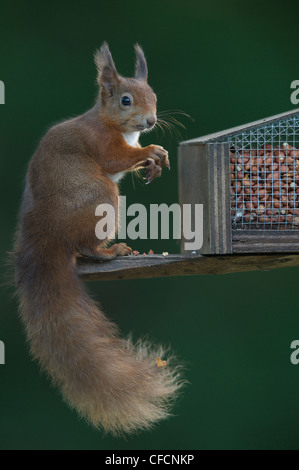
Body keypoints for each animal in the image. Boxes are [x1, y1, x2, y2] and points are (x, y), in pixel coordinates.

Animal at [14, 42, 183, 436]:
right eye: (125, 100)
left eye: (154, 96)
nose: (150, 122)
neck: (110, 122)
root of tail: (44, 239)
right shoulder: (101, 142)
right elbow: (115, 159)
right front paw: (151, 153)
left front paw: (156, 159)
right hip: (101, 196)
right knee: (83, 247)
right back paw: (108, 251)